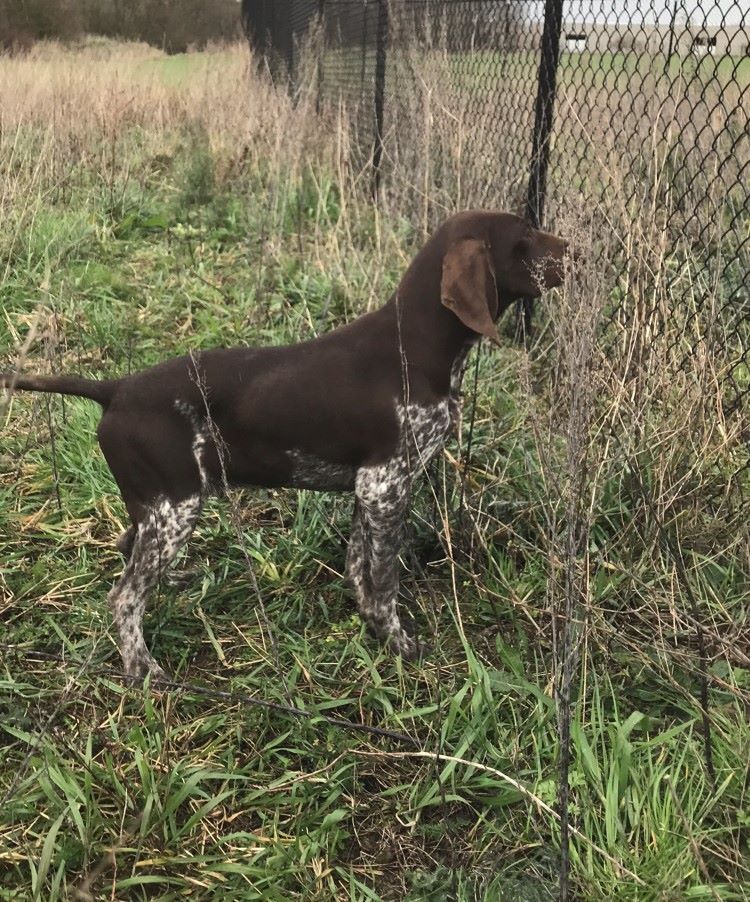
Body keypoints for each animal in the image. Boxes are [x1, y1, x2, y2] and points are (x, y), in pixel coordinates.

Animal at [1, 211, 569, 679]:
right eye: (525, 236)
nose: (573, 249)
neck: (417, 347)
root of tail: (115, 389)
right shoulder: (387, 485)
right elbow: (385, 580)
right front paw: (400, 644)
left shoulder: (371, 489)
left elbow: (361, 568)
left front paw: (370, 624)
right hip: (174, 507)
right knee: (123, 597)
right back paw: (144, 671)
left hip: (156, 508)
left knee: (127, 552)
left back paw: (176, 584)